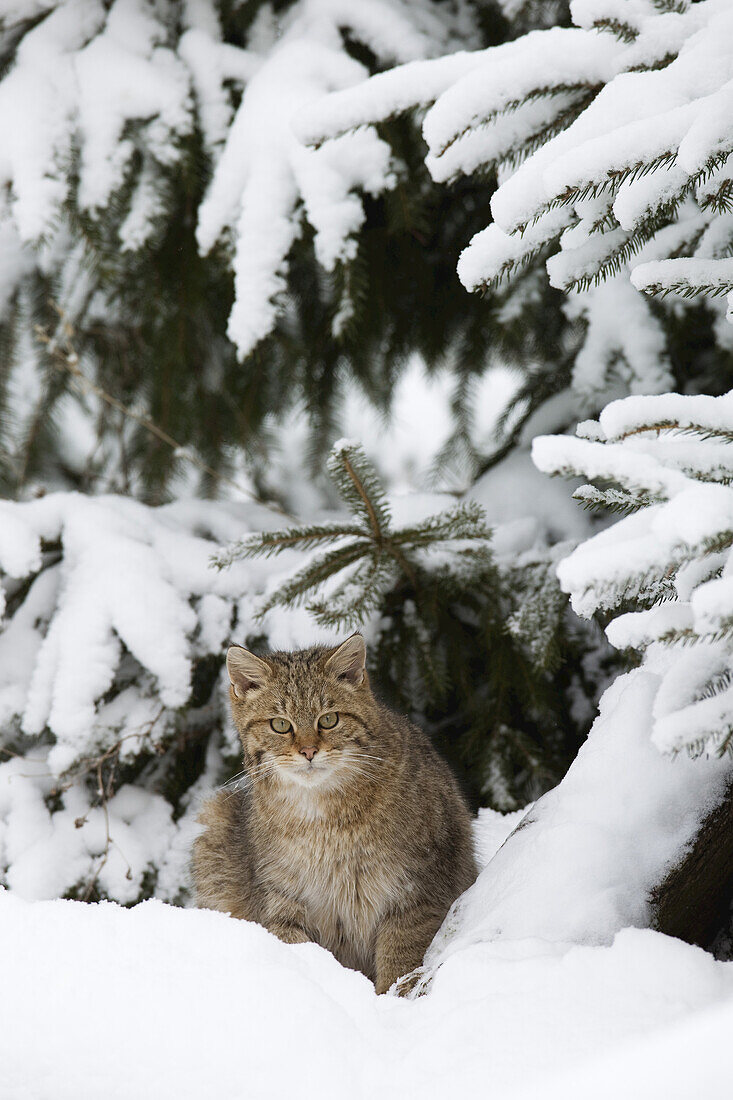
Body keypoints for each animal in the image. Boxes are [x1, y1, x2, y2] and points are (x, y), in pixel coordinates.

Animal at [189, 633, 473, 994]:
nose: (309, 751)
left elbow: (398, 963)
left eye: (329, 719)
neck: (323, 819)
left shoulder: (414, 892)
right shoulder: (283, 899)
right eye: (280, 725)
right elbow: (299, 952)